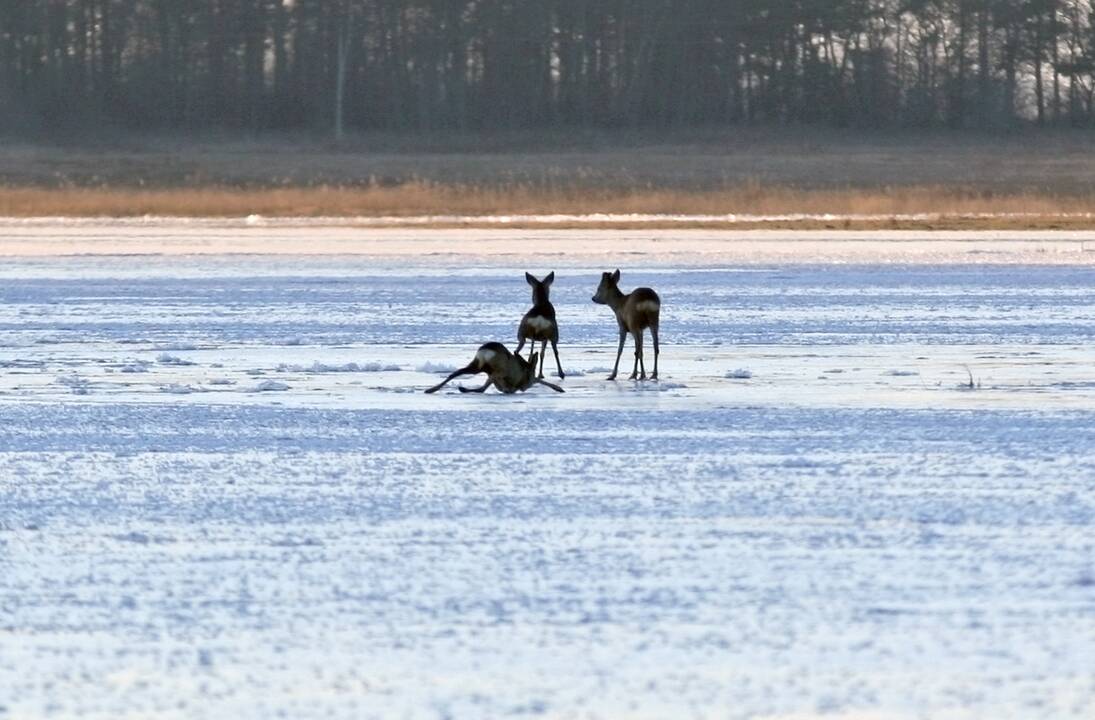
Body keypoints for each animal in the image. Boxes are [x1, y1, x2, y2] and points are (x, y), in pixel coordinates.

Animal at [422, 341, 565, 391]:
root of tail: (486, 349)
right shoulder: (525, 380)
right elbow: (538, 379)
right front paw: (559, 388)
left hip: (478, 366)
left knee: (456, 373)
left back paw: (432, 389)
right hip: (496, 370)